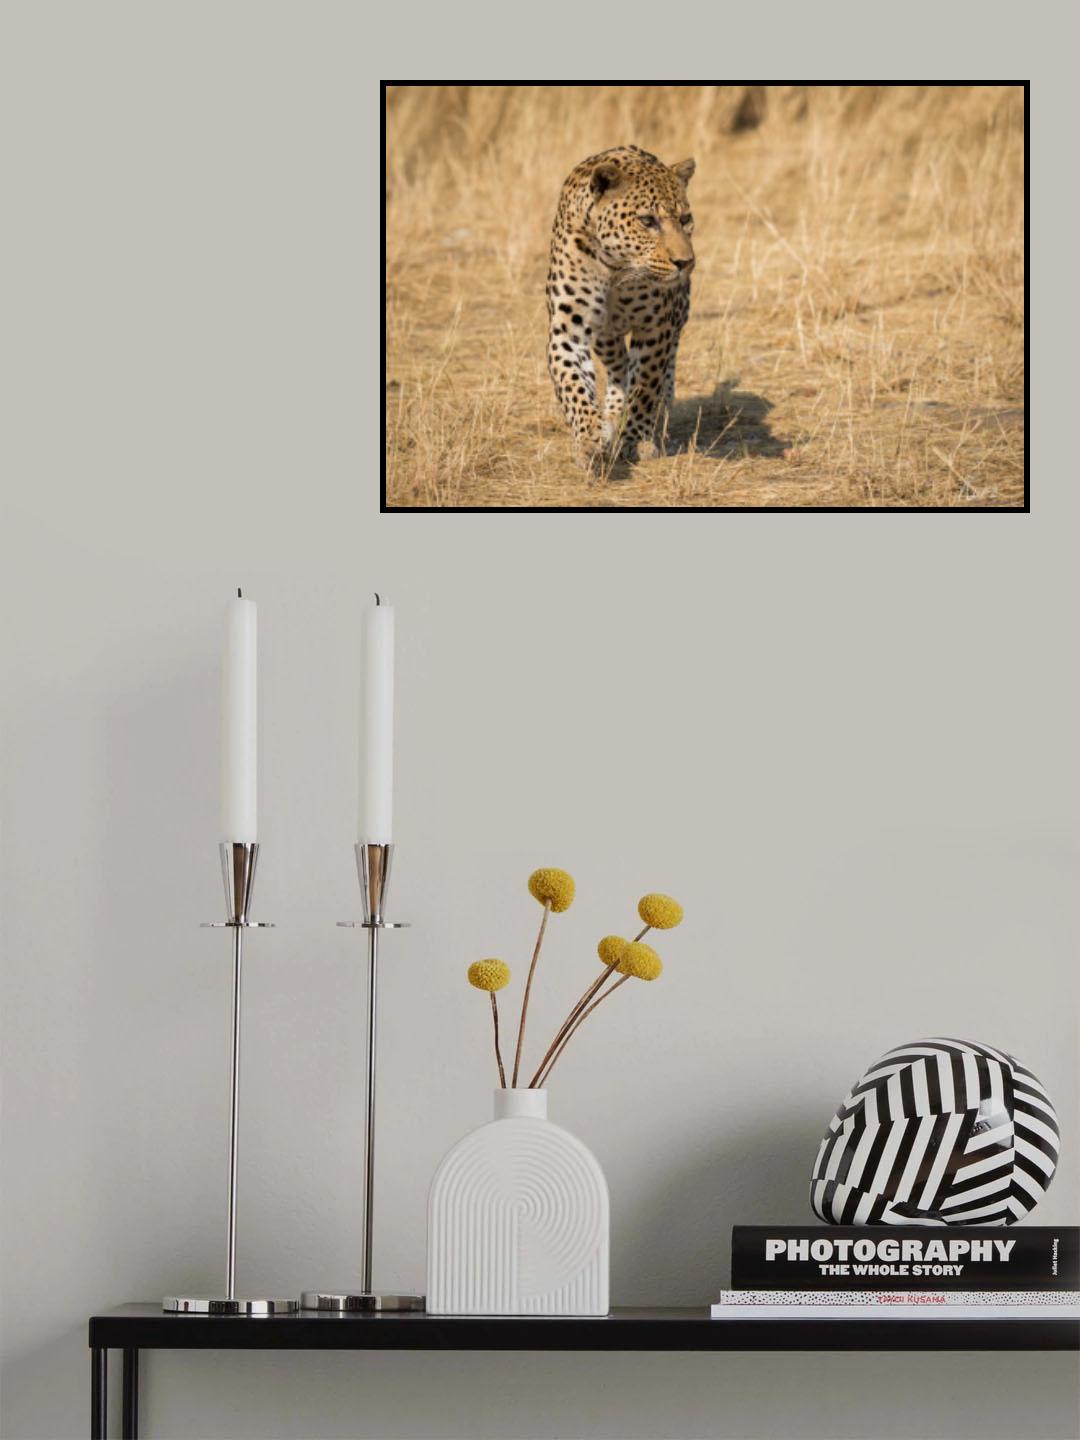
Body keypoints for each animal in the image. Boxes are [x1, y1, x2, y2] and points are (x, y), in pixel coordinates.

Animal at [546, 145, 696, 471]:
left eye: (686, 218)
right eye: (647, 221)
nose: (685, 262)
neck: (615, 268)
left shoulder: (656, 327)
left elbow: (645, 386)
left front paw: (636, 439)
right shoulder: (569, 329)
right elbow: (573, 384)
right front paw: (590, 440)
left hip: (677, 314)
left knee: (664, 369)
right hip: (605, 336)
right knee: (619, 365)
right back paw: (612, 414)